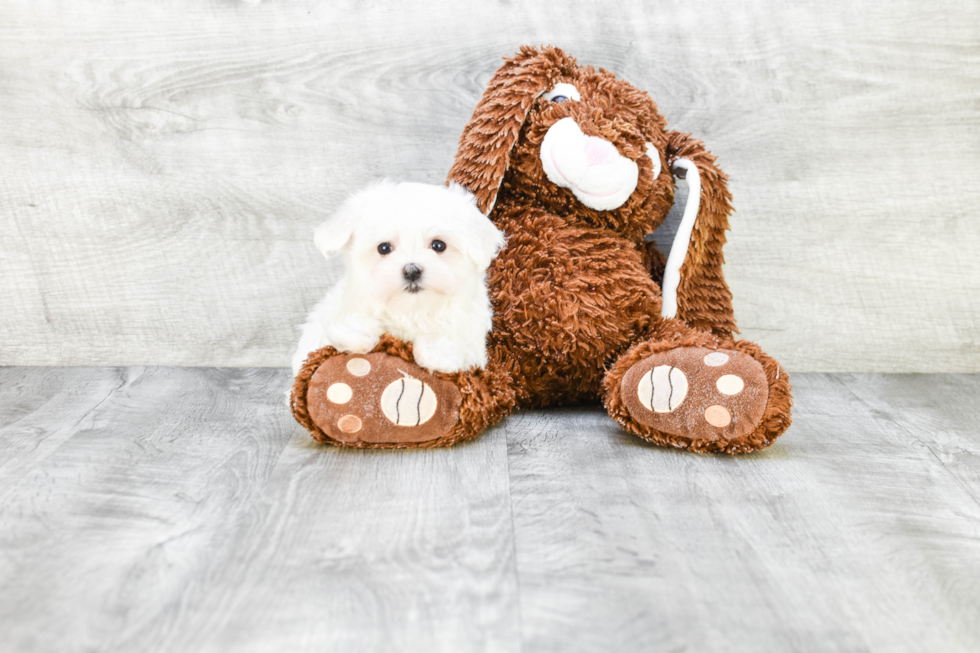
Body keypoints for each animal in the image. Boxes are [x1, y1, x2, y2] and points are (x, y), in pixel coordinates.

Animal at [290, 182, 506, 376]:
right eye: (384, 248)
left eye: (438, 245)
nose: (412, 270)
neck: (411, 310)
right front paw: (354, 333)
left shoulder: (474, 345)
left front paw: (438, 353)